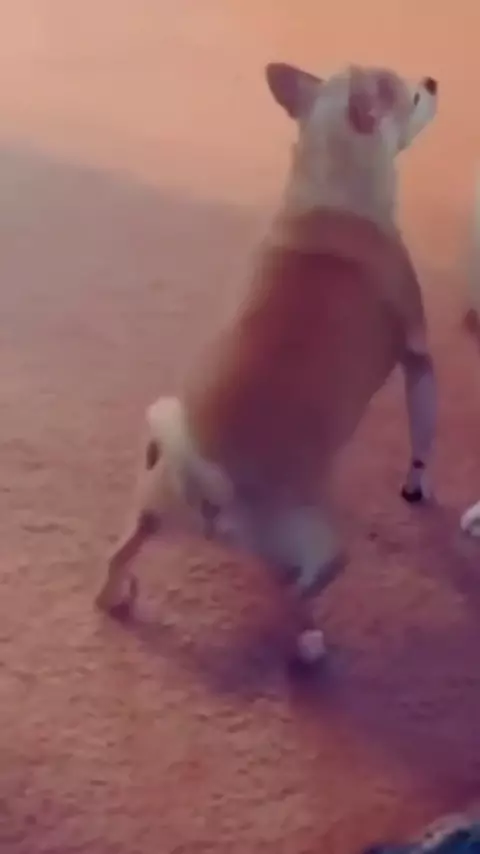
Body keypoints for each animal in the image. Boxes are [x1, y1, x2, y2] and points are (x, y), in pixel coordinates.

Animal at [96, 62, 439, 663]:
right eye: (415, 97)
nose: (435, 82)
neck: (334, 188)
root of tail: (213, 490)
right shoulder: (418, 356)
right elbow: (423, 434)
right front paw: (418, 484)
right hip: (320, 548)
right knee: (298, 592)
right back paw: (310, 641)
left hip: (151, 505)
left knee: (121, 553)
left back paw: (118, 594)